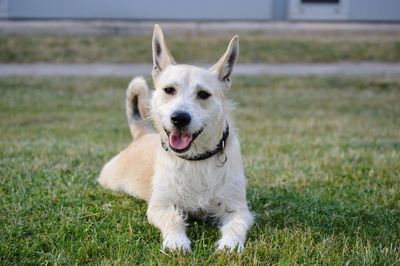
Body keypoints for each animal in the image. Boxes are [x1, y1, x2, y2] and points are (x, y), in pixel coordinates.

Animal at [98, 23, 253, 252]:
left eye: (203, 94)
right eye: (169, 90)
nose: (179, 118)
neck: (196, 160)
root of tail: (142, 134)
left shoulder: (239, 209)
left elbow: (236, 225)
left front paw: (230, 245)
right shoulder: (160, 206)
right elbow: (173, 219)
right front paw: (177, 241)